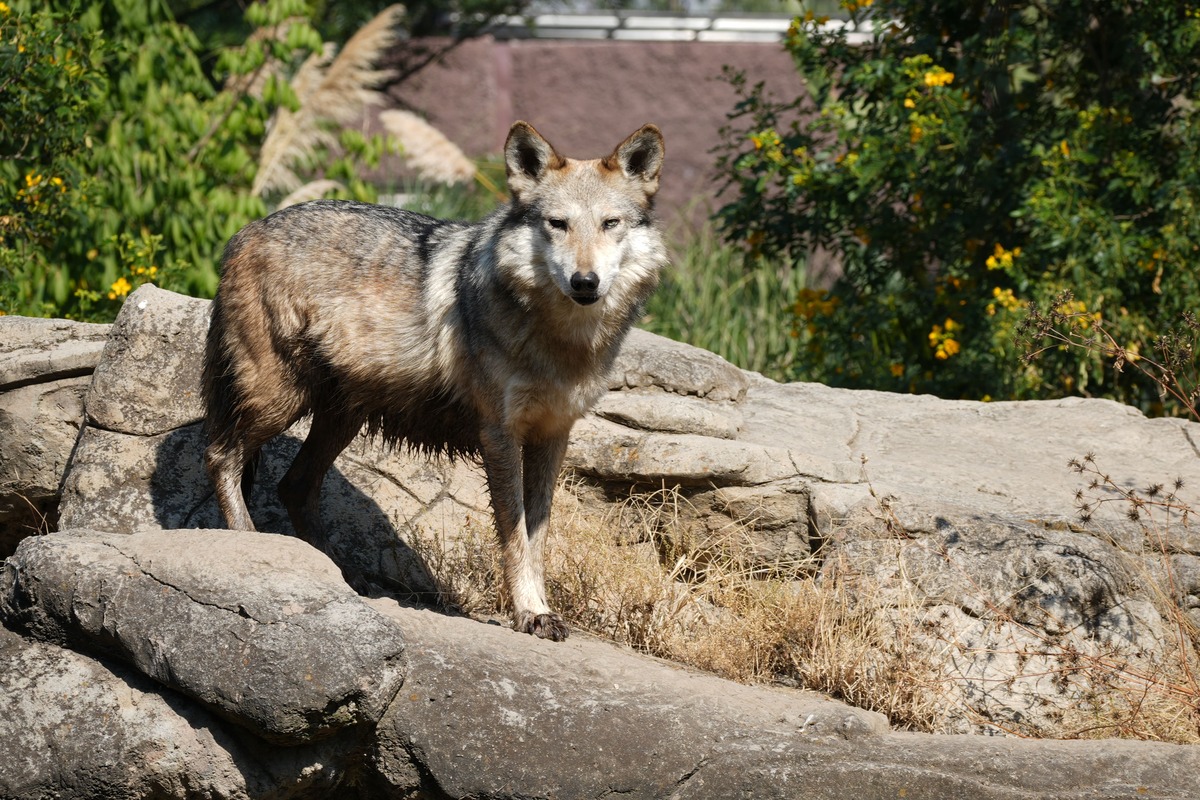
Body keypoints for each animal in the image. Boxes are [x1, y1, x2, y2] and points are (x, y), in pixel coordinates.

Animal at [202, 121, 666, 641]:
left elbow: (537, 536)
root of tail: (245, 231)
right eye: (557, 224)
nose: (585, 282)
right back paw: (251, 543)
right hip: (279, 398)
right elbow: (514, 535)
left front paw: (540, 608)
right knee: (220, 455)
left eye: (610, 224)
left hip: (340, 418)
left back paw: (346, 576)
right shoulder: (499, 434)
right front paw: (528, 613)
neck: (560, 342)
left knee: (293, 486)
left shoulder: (553, 436)